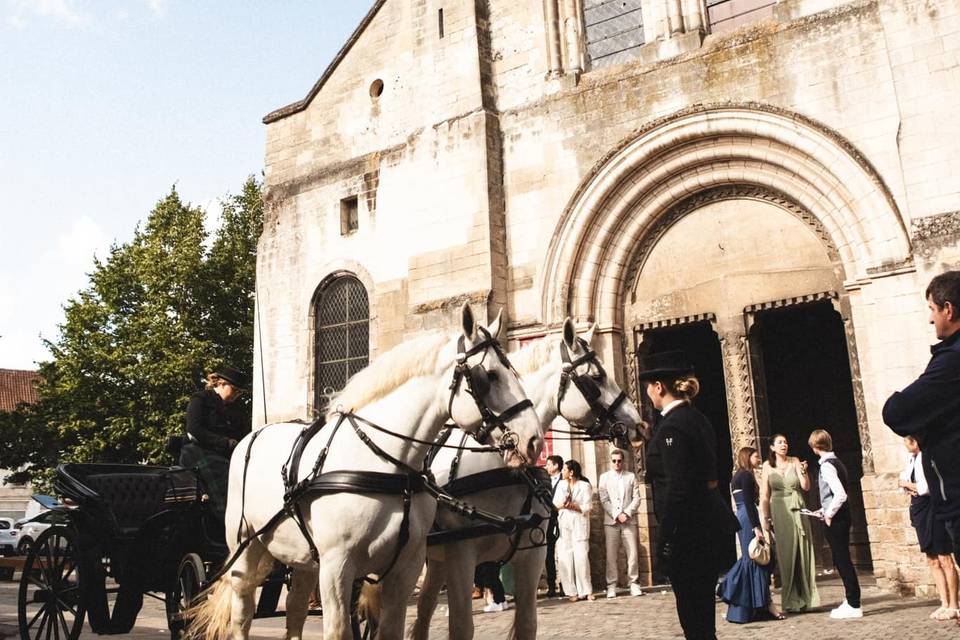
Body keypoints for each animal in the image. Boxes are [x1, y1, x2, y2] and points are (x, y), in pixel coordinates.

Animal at [189, 304, 548, 640]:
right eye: (490, 376)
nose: (533, 441)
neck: (388, 467)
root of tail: (252, 435)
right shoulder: (337, 568)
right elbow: (338, 630)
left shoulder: (405, 567)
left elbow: (390, 628)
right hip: (246, 550)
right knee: (243, 611)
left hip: (304, 558)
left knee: (295, 610)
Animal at [406, 320, 640, 640]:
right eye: (596, 378)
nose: (639, 425)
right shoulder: (460, 554)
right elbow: (461, 626)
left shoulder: (532, 554)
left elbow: (528, 623)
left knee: (423, 611)